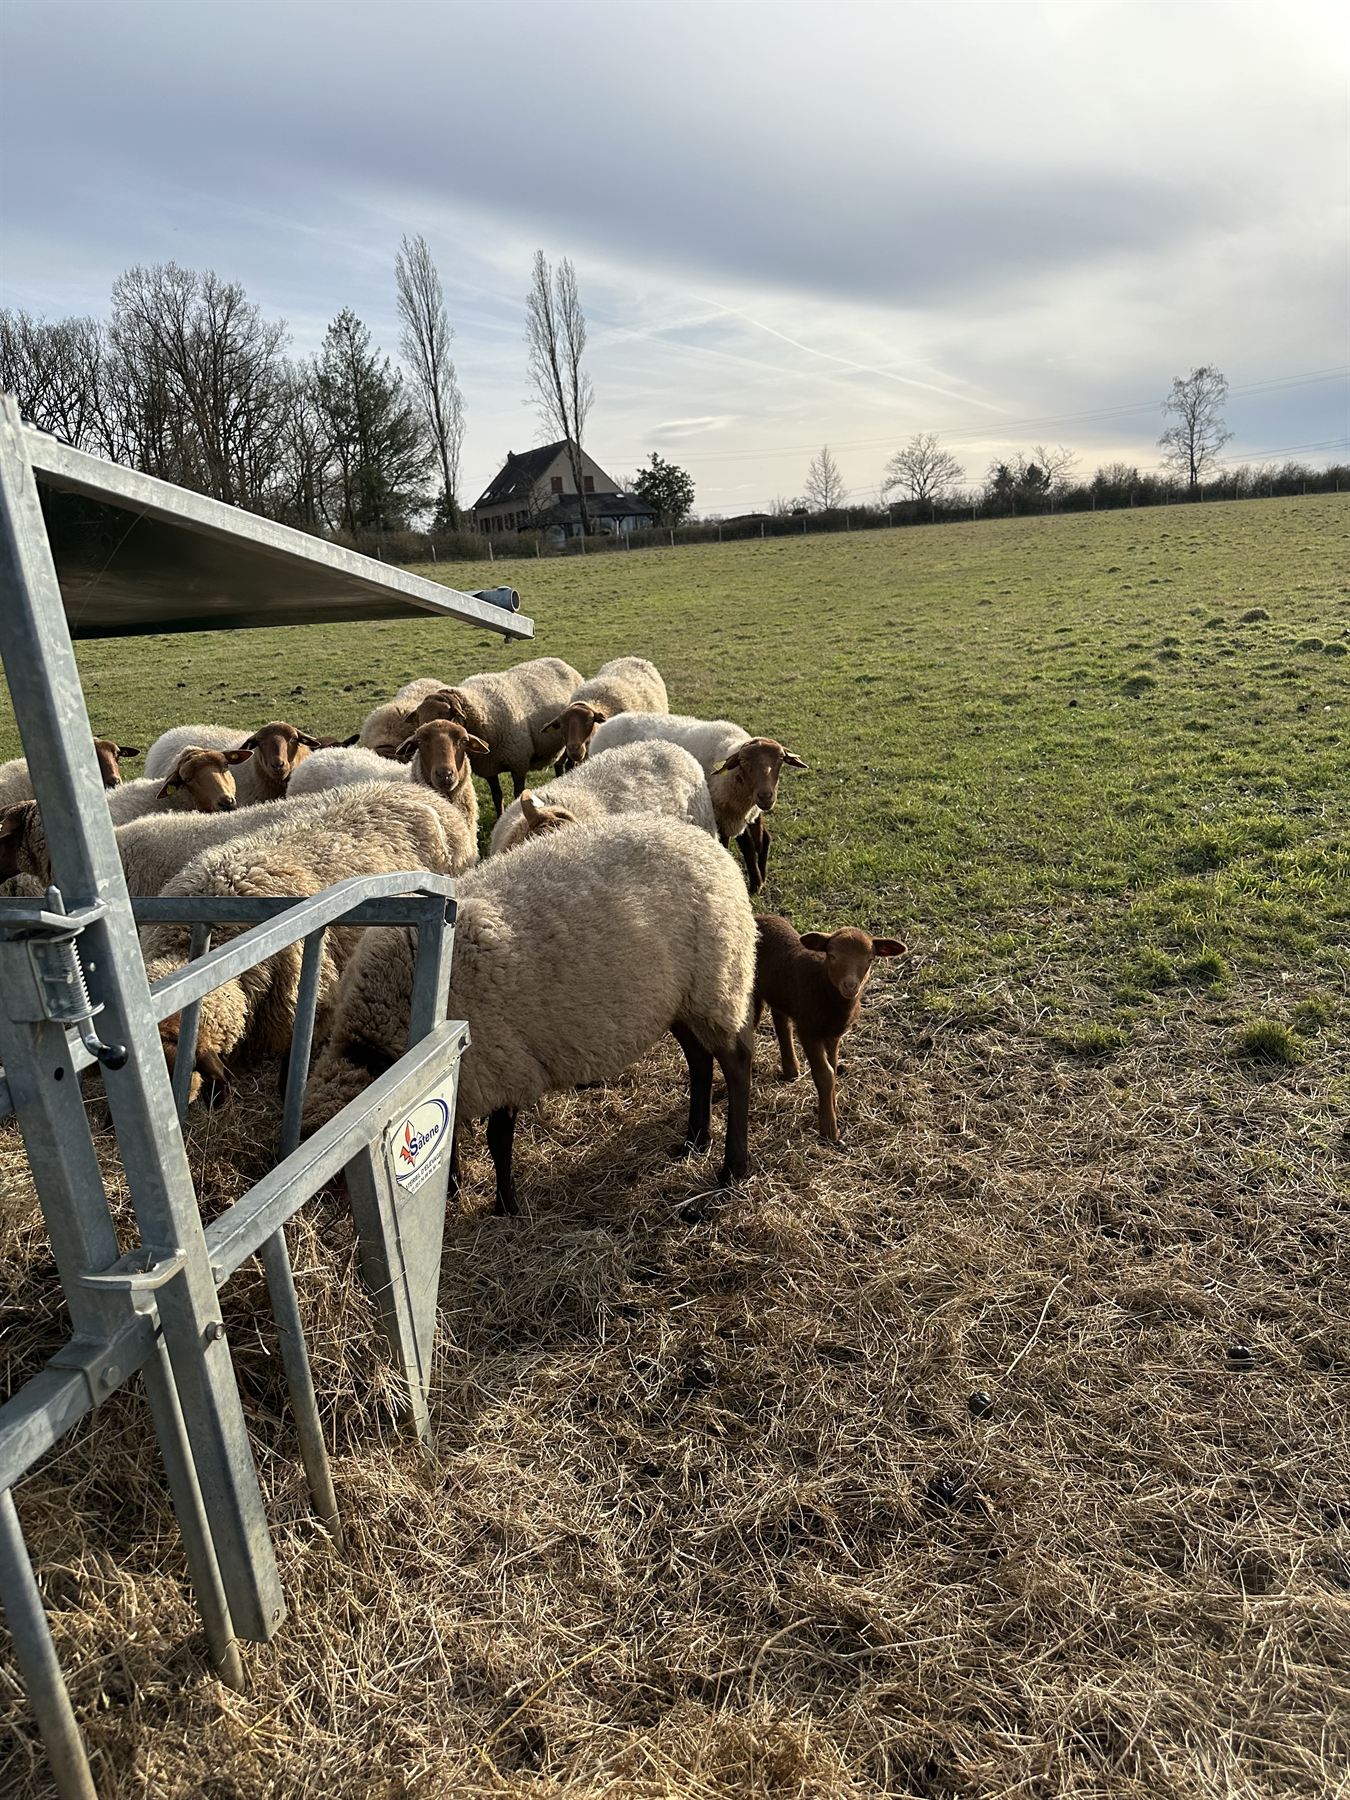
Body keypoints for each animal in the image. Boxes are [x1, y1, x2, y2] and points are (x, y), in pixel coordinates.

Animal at [304, 814, 757, 1212]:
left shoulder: (502, 1065)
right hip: (681, 1000)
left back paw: (732, 1168)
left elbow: (497, 1141)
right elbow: (449, 1135)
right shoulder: (461, 1074)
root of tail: (705, 841)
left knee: (735, 1062)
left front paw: (506, 1206)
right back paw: (695, 1139)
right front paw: (451, 1190)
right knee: (699, 1059)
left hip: (718, 980)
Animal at [361, 658, 583, 817]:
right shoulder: (489, 767)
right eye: (419, 718)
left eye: (447, 714)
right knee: (559, 764)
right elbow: (497, 796)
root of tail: (560, 661)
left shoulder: (518, 763)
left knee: (568, 763)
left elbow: (517, 794)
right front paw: (499, 815)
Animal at [587, 712, 808, 893]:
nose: (765, 796)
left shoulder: (742, 814)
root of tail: (611, 720)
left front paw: (758, 881)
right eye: (745, 763)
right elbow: (739, 846)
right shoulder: (718, 815)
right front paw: (753, 883)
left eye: (780, 760)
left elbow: (754, 844)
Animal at [753, 915, 907, 1144]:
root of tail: (759, 916)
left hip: (779, 992)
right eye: (832, 955)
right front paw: (829, 1129)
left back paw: (791, 1071)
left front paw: (832, 1107)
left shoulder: (834, 1034)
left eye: (870, 959)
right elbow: (825, 1074)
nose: (850, 986)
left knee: (781, 1022)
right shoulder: (809, 1030)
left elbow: (833, 1067)